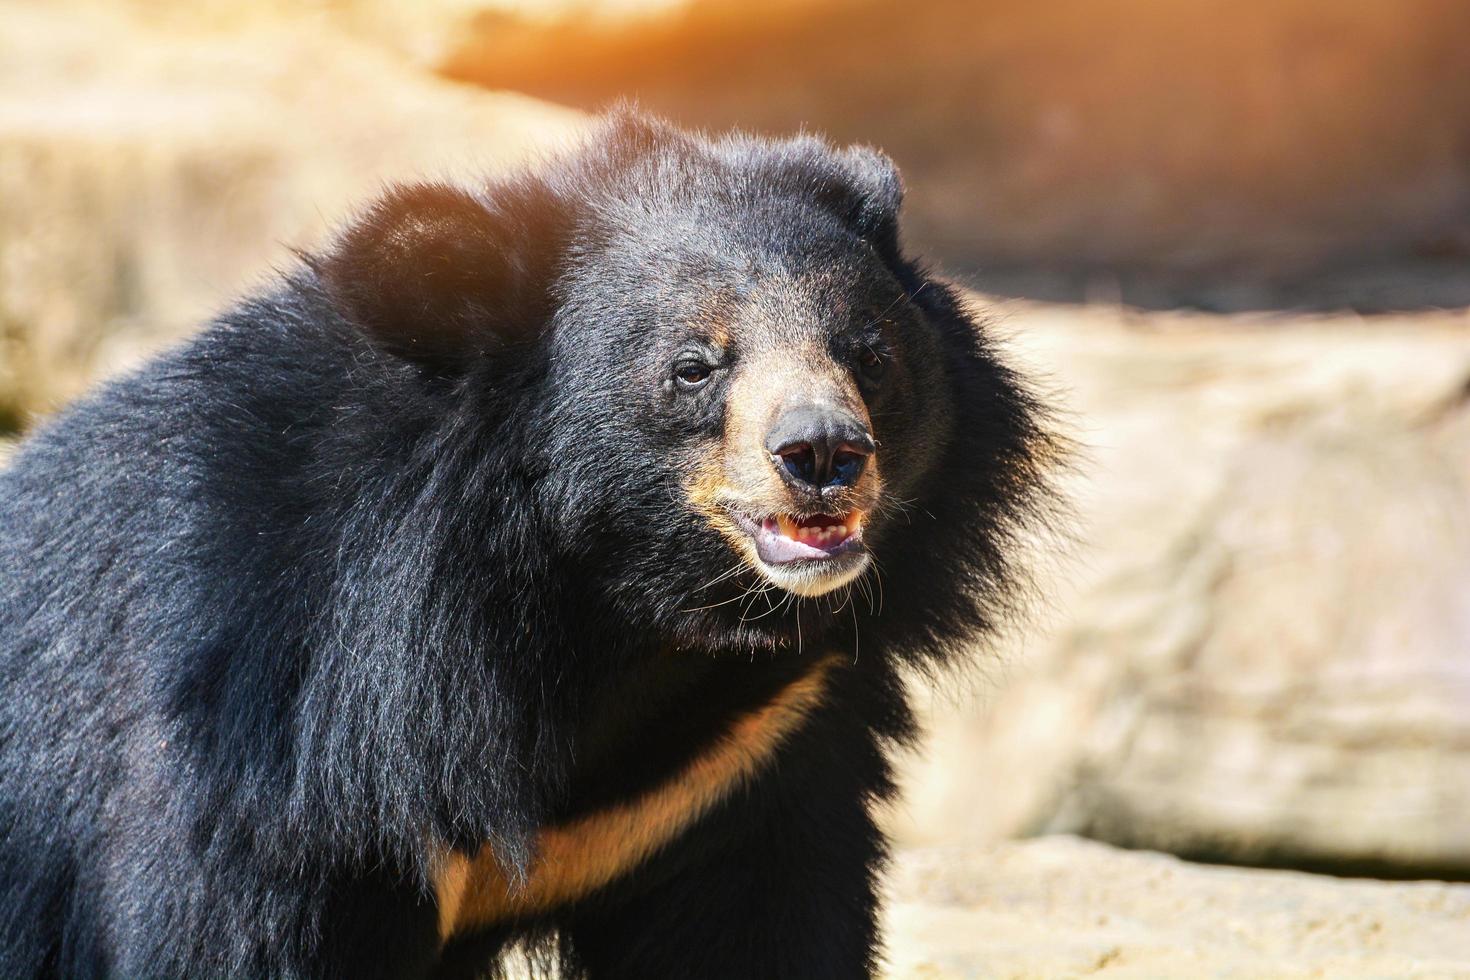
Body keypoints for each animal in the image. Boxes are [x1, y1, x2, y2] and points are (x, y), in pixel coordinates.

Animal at [0, 110, 1058, 975]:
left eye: (867, 353)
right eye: (693, 366)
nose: (823, 453)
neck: (618, 606)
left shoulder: (745, 755)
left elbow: (761, 927)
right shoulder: (273, 750)